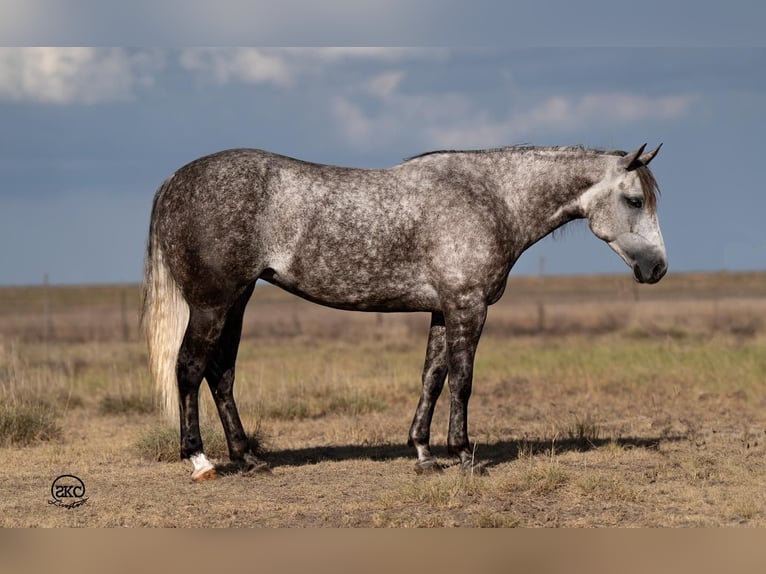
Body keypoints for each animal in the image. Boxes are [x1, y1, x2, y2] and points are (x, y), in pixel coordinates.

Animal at [141, 144, 668, 482]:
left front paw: (423, 453)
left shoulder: (442, 311)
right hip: (213, 304)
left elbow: (431, 379)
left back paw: (248, 458)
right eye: (634, 200)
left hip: (237, 301)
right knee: (189, 369)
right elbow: (462, 381)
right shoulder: (467, 308)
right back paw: (201, 461)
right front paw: (463, 454)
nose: (658, 268)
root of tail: (173, 181)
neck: (490, 198)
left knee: (221, 374)